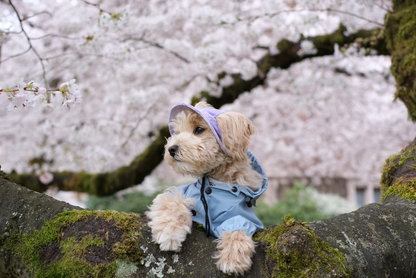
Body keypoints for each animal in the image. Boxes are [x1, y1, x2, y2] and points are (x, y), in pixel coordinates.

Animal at [145, 101, 268, 274]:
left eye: (198, 130)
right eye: (178, 132)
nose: (171, 149)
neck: (215, 183)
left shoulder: (242, 213)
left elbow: (239, 225)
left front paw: (232, 258)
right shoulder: (186, 191)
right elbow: (171, 201)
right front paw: (168, 234)